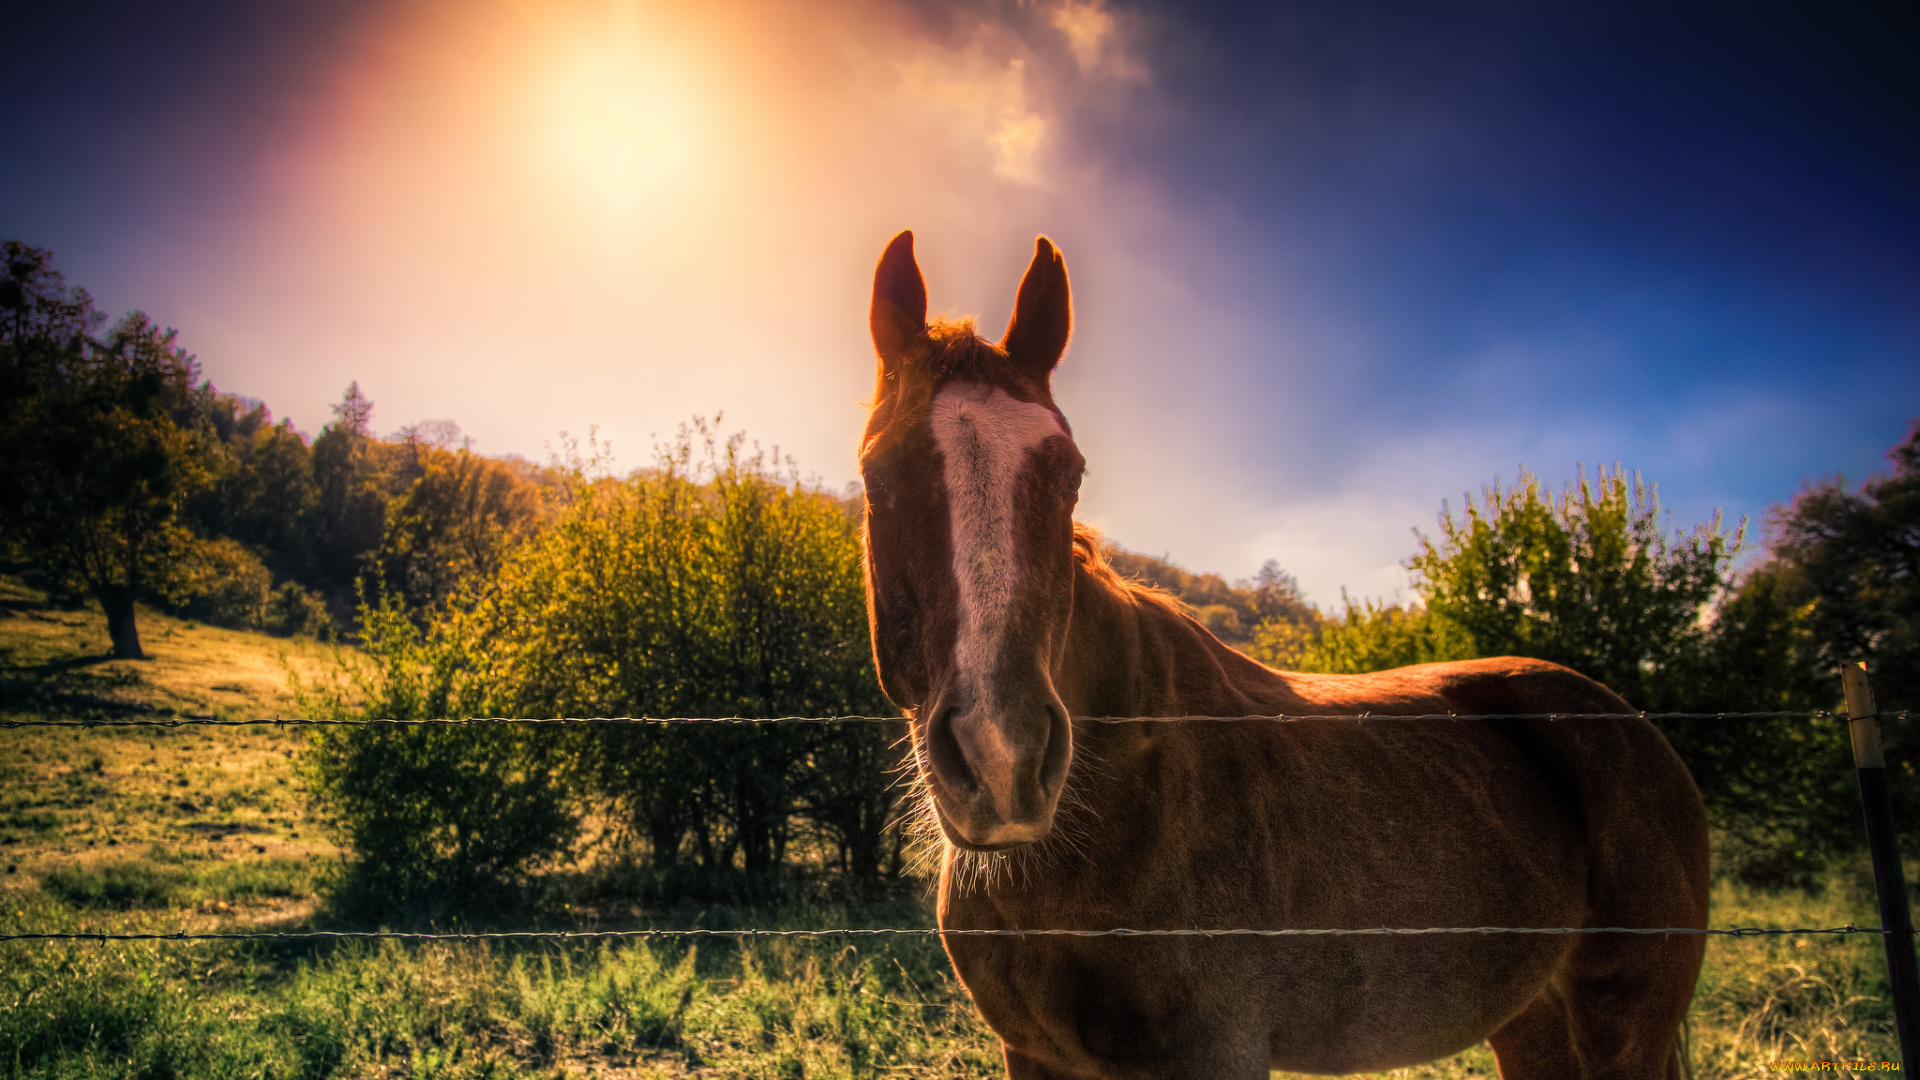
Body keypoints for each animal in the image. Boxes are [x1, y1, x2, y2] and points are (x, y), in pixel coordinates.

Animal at [856, 231, 1712, 1068]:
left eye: (1071, 474)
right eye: (875, 475)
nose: (1002, 757)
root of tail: (1628, 725)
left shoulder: (1214, 1053)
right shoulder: (1032, 1054)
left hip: (1622, 1029)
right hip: (1532, 1020)